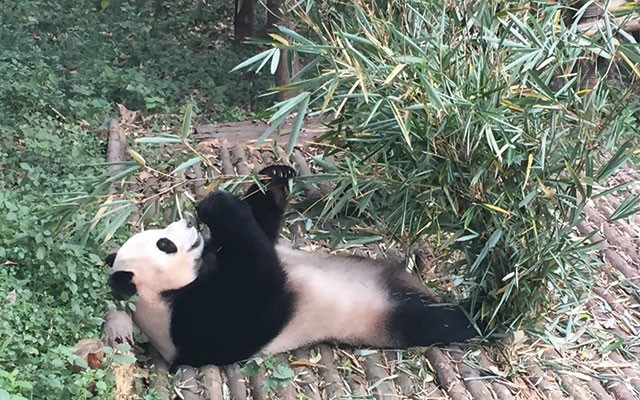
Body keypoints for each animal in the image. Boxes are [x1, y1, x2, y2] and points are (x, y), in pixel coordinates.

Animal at [107, 164, 482, 368]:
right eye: (164, 245)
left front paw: (275, 177)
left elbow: (263, 228)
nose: (187, 224)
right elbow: (259, 277)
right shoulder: (199, 322)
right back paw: (479, 313)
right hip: (382, 317)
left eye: (161, 235)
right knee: (435, 322)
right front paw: (218, 204)